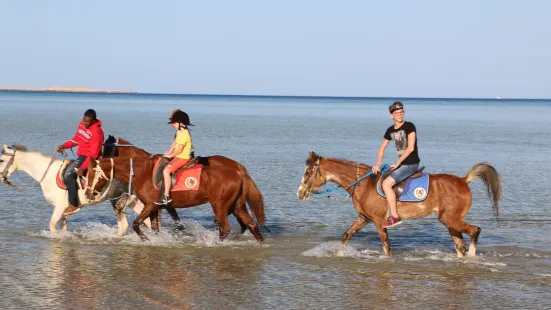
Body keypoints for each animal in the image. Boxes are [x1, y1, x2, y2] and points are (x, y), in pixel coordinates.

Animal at [0, 144, 151, 236]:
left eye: (1, 160)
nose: (1, 177)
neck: (47, 173)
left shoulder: (60, 206)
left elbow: (52, 225)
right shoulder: (64, 211)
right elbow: (63, 226)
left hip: (118, 202)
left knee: (124, 226)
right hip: (132, 201)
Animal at [87, 155, 266, 242]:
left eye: (90, 175)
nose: (89, 194)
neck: (143, 173)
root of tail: (239, 172)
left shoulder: (150, 206)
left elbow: (136, 224)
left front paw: (145, 239)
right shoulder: (156, 207)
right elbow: (155, 228)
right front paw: (156, 239)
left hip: (220, 206)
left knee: (225, 228)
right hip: (237, 206)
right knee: (251, 225)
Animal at [298, 152, 504, 256]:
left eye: (307, 173)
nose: (300, 193)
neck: (363, 183)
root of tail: (463, 180)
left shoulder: (379, 221)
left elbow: (386, 245)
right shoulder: (364, 218)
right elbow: (346, 236)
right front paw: (340, 255)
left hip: (451, 219)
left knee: (475, 231)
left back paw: (471, 257)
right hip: (450, 221)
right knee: (460, 243)